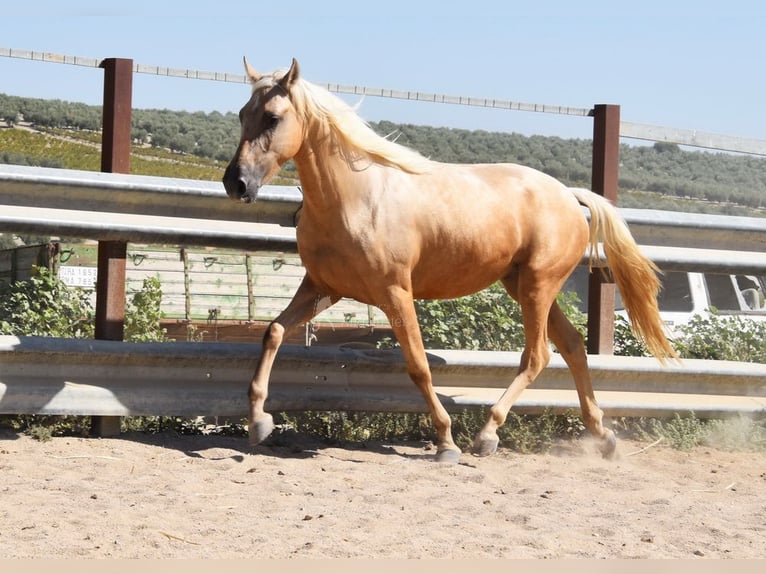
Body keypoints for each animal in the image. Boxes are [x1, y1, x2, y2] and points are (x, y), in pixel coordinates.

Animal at [224, 58, 680, 464]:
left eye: (272, 117)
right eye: (244, 113)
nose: (236, 183)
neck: (355, 199)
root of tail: (569, 195)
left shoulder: (395, 292)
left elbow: (418, 365)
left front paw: (446, 443)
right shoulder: (322, 289)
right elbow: (273, 332)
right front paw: (259, 421)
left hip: (539, 285)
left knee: (538, 356)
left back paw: (487, 435)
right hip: (523, 286)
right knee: (572, 346)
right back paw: (603, 437)